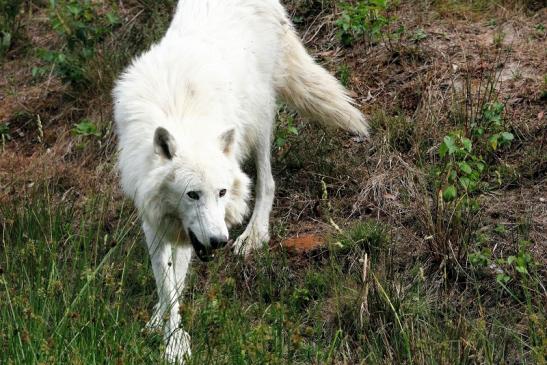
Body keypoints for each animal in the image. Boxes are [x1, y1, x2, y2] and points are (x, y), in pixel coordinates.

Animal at [112, 0, 368, 360]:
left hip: (258, 119)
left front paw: (174, 343)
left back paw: (254, 235)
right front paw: (159, 325)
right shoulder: (156, 220)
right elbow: (167, 281)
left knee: (267, 182)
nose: (220, 241)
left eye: (220, 192)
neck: (181, 117)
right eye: (192, 194)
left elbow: (176, 281)